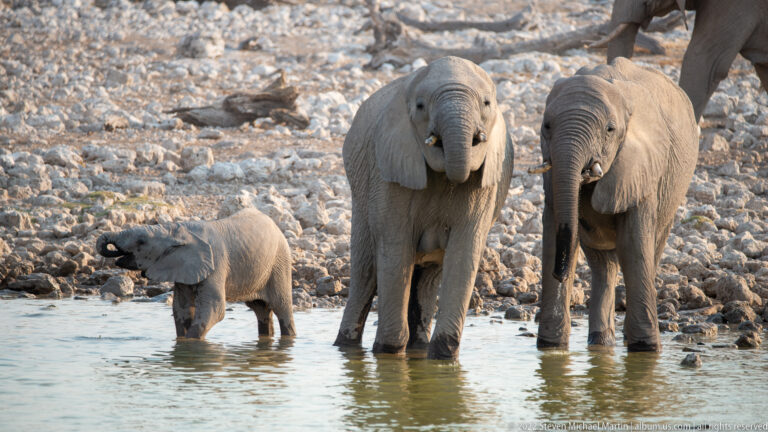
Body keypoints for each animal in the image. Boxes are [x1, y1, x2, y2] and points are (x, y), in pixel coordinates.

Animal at [96, 208, 296, 339]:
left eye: (141, 241)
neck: (177, 230)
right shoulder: (182, 267)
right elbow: (181, 308)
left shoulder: (216, 265)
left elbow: (215, 309)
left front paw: (191, 345)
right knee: (260, 309)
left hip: (280, 263)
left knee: (281, 307)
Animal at [333, 56, 514, 360]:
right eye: (420, 106)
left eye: (487, 103)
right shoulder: (390, 170)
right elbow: (395, 249)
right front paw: (389, 352)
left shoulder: (486, 181)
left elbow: (464, 253)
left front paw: (443, 356)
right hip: (360, 191)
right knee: (366, 272)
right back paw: (346, 346)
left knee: (427, 279)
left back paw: (418, 348)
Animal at [533, 57, 698, 352]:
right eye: (547, 126)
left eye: (610, 130)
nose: (560, 275)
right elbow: (552, 235)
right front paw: (550, 348)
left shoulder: (643, 168)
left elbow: (633, 245)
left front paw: (645, 349)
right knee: (603, 265)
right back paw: (600, 341)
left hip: (672, 192)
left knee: (650, 251)